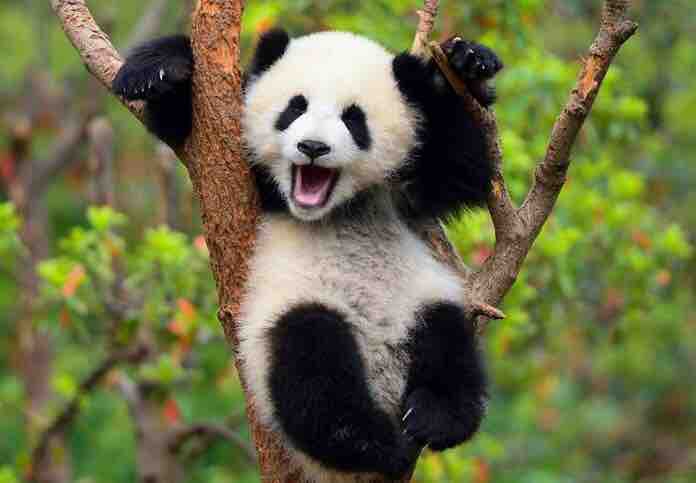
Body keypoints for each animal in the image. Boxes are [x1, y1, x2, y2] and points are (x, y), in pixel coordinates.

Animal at [114, 28, 502, 481]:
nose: (313, 146)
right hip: (294, 310)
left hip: (419, 300)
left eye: (354, 118)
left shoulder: (407, 189)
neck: (336, 209)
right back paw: (372, 443)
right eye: (294, 107)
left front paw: (467, 62)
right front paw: (158, 70)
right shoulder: (246, 173)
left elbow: (463, 168)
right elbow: (189, 128)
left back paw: (431, 418)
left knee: (448, 347)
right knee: (312, 364)